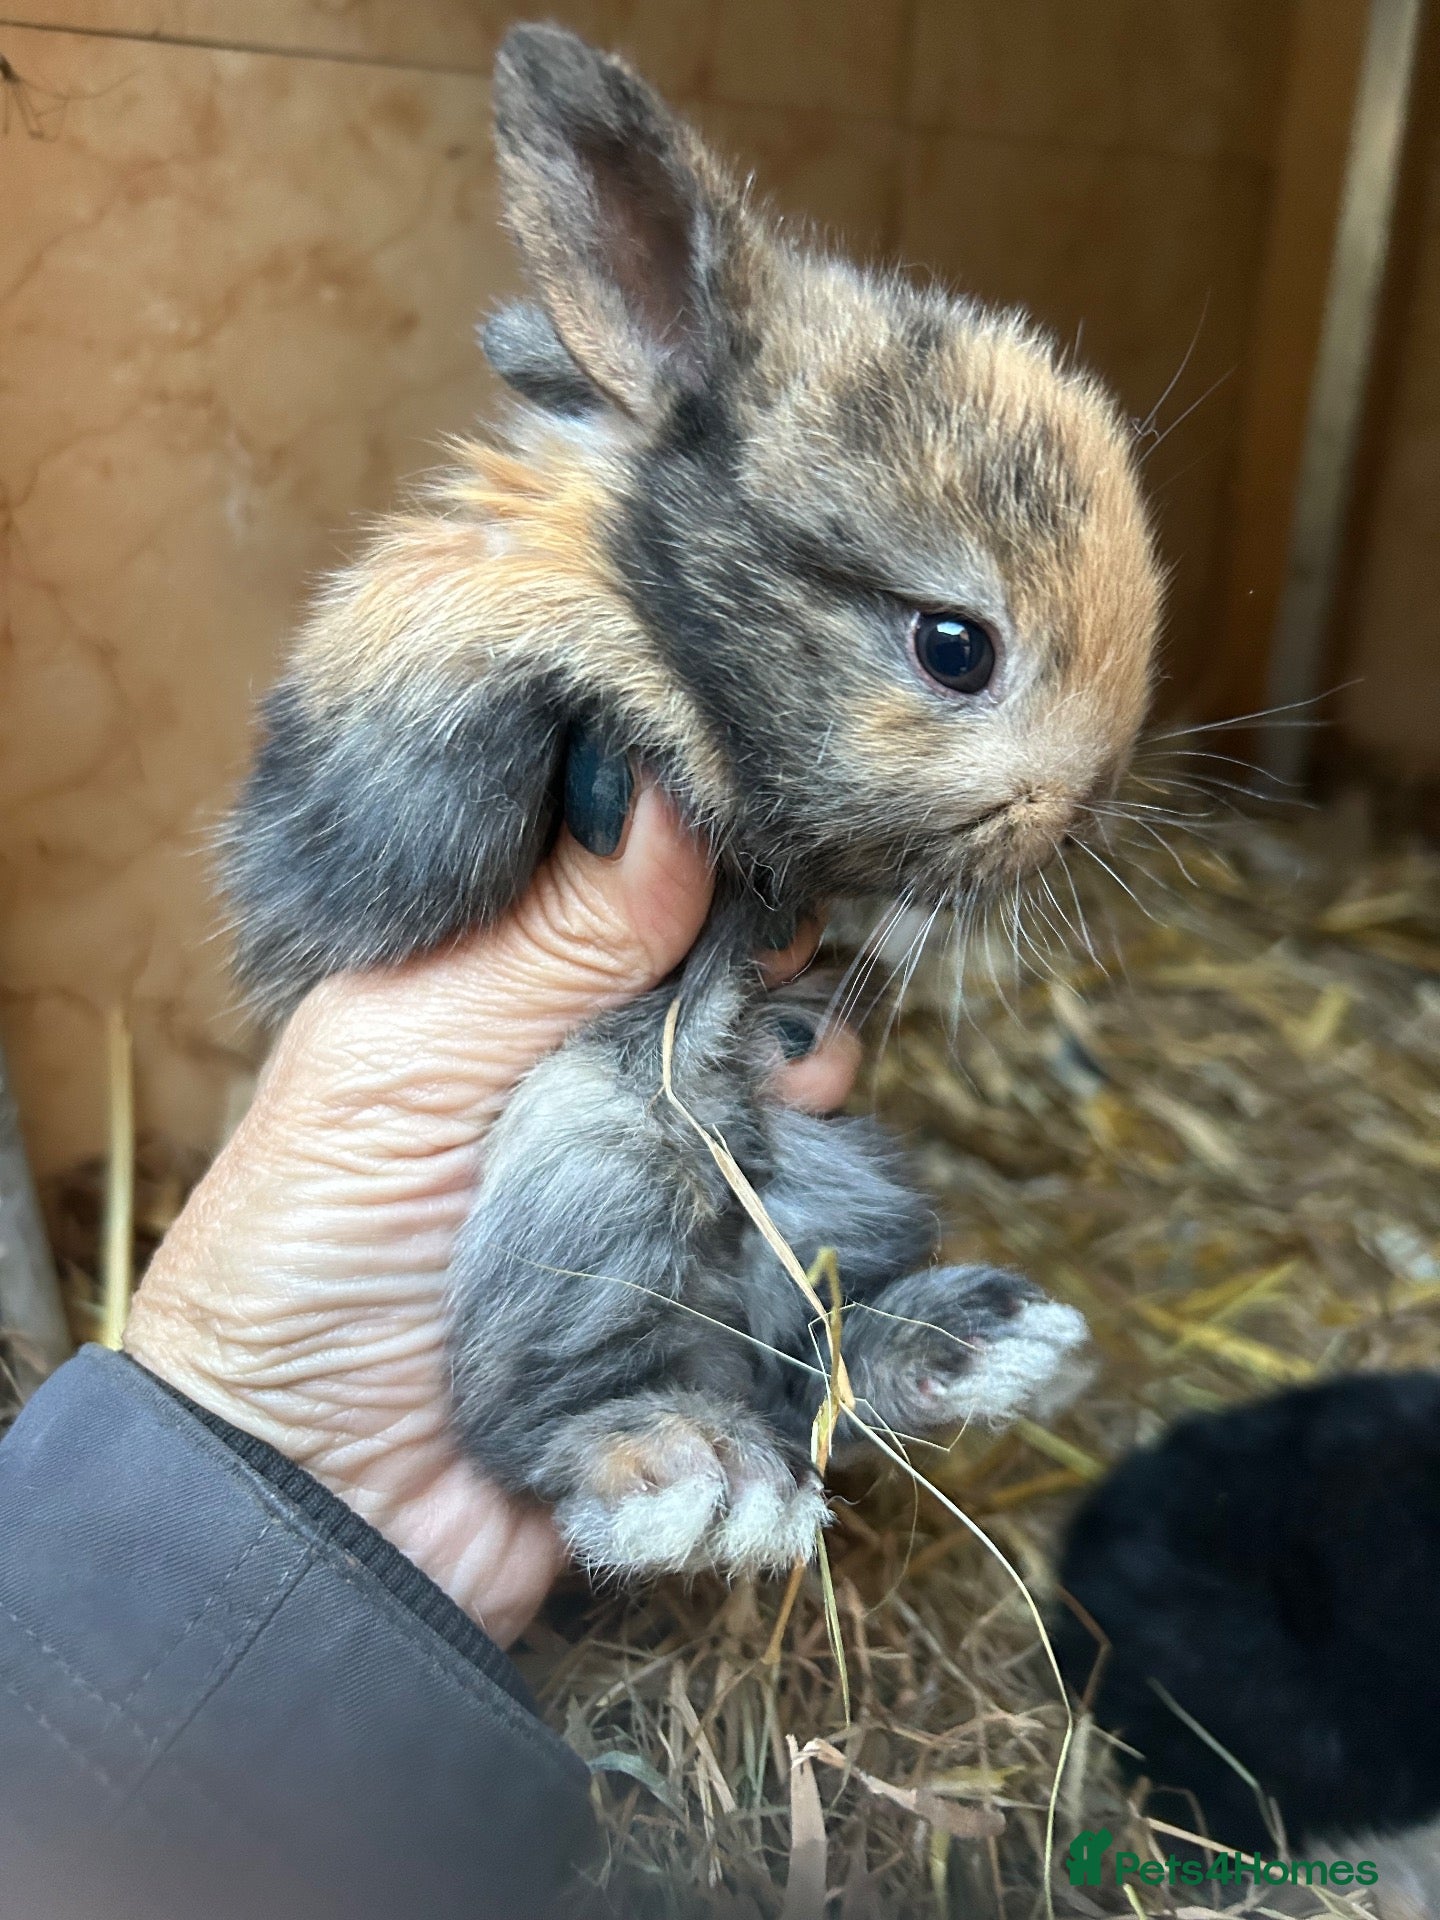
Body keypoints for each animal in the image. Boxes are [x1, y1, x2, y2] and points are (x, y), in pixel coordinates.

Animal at [221, 23, 1162, 1581]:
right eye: (953, 646)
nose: (1077, 811)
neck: (660, 619)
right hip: (606, 1149)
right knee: (545, 1407)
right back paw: (689, 1471)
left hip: (828, 1171)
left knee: (820, 1358)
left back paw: (978, 1345)